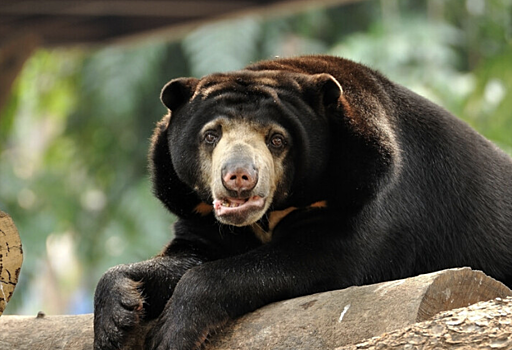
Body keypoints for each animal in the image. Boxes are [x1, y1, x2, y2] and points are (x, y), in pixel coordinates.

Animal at [93, 55, 512, 350]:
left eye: (277, 139)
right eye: (211, 135)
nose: (239, 176)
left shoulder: (366, 194)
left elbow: (312, 258)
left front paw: (171, 334)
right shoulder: (200, 214)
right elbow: (187, 256)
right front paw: (118, 315)